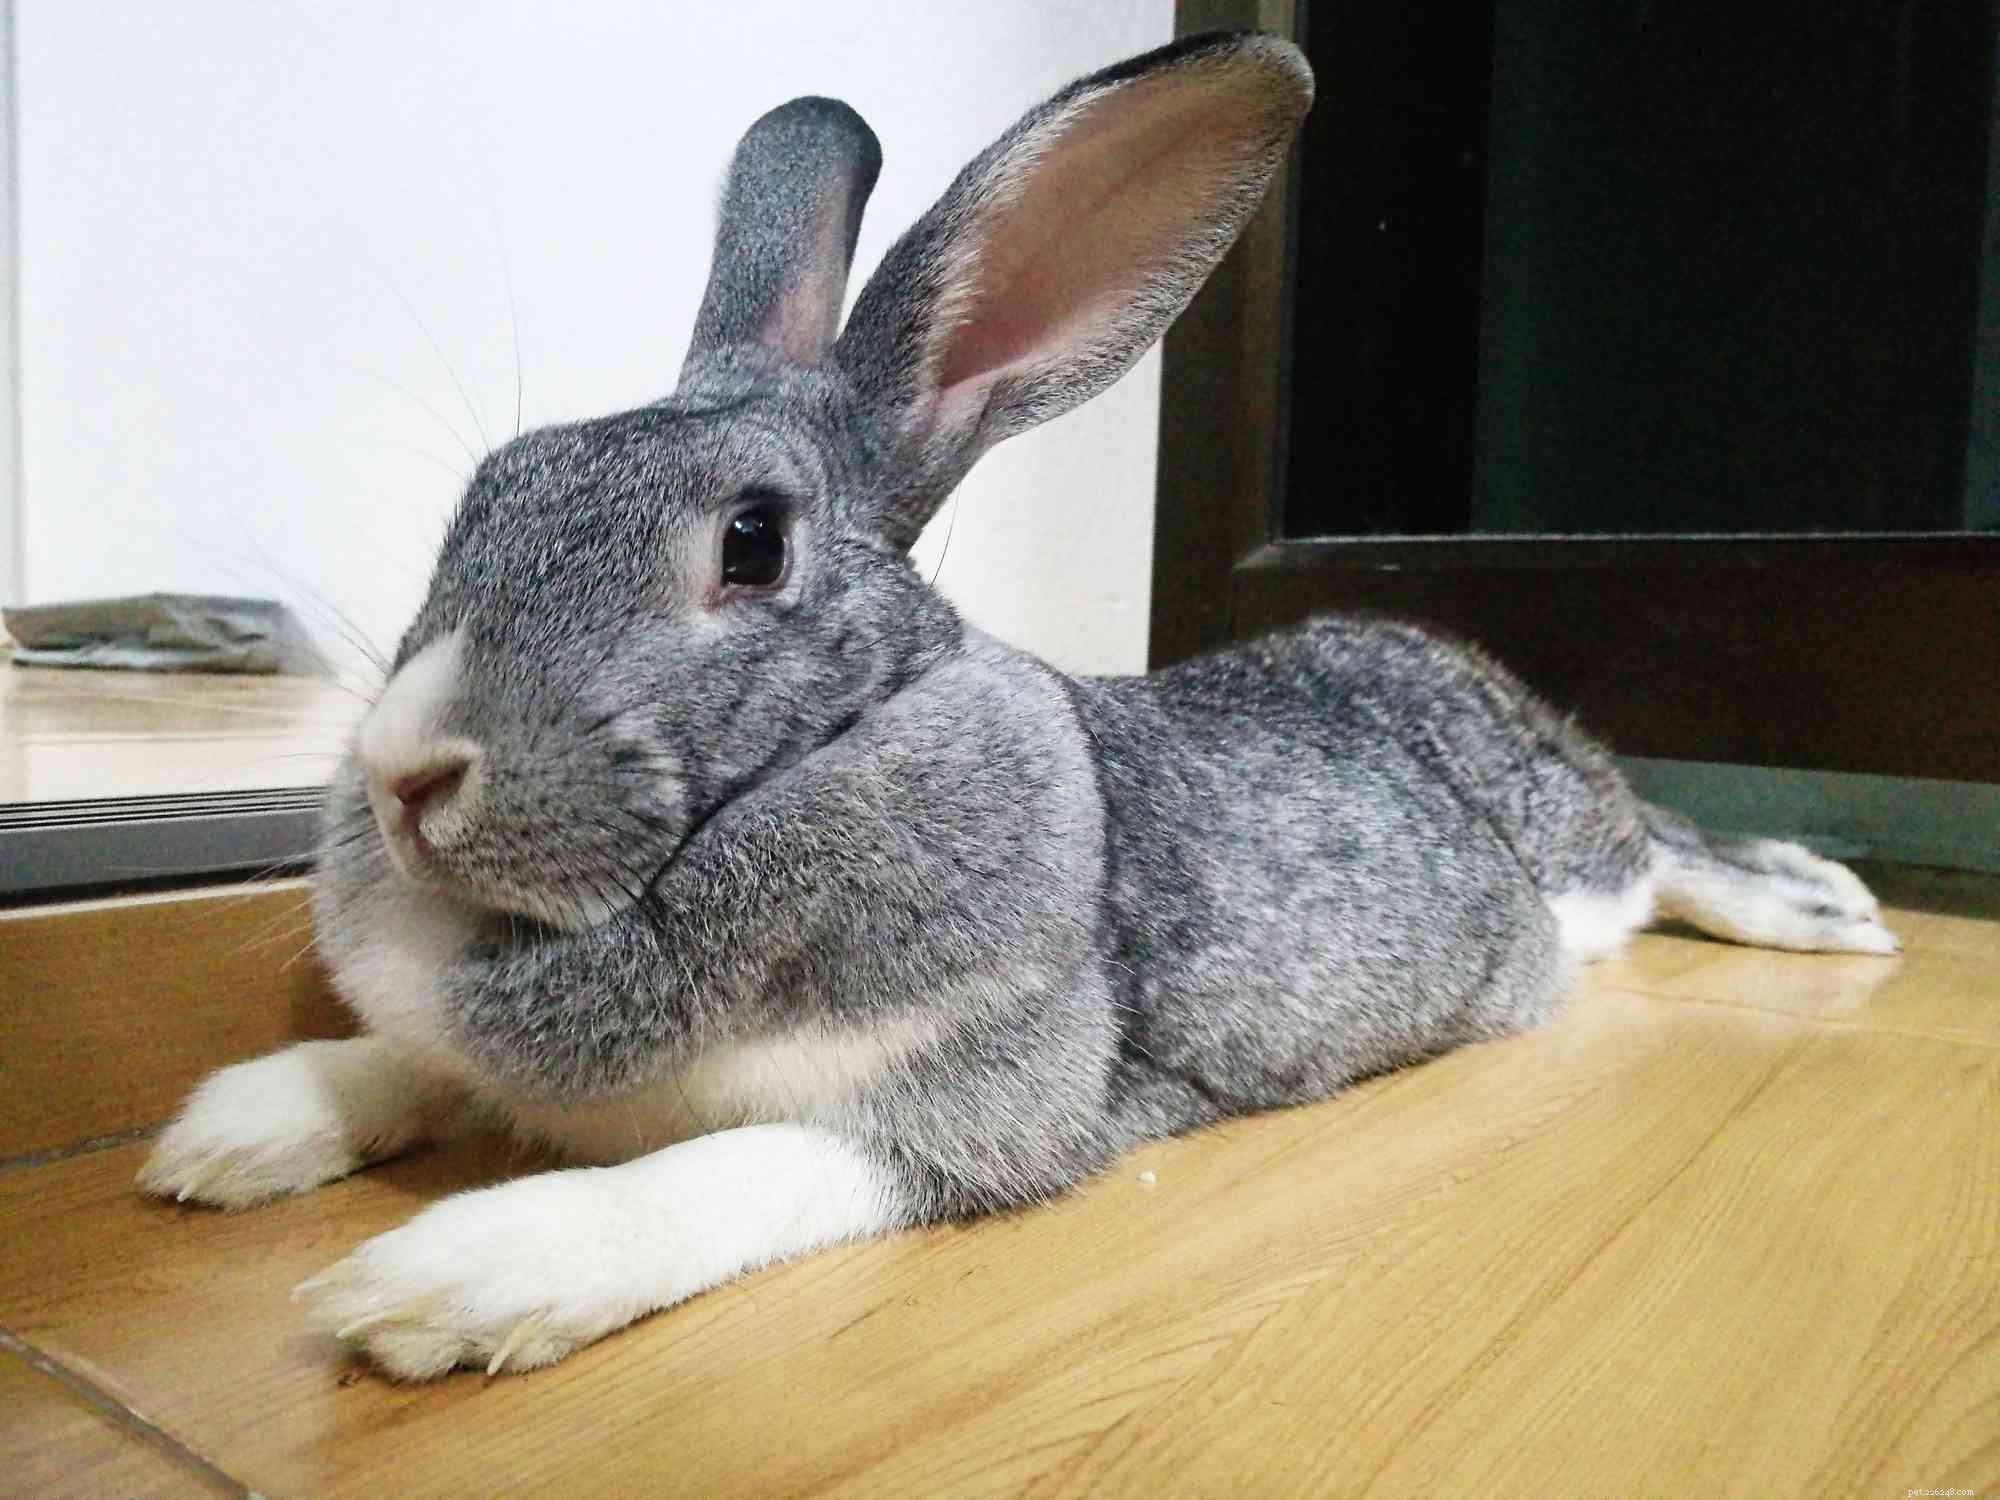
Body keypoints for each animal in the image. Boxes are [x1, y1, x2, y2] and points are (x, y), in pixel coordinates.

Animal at [137, 30, 1898, 1380]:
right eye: (487, 495)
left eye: (753, 544)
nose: (404, 773)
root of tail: (1434, 651)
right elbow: (418, 1062)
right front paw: (236, 1132)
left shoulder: (979, 1108)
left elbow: (718, 1178)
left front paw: (441, 1283)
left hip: (1576, 846)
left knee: (1674, 848)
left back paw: (1833, 909)